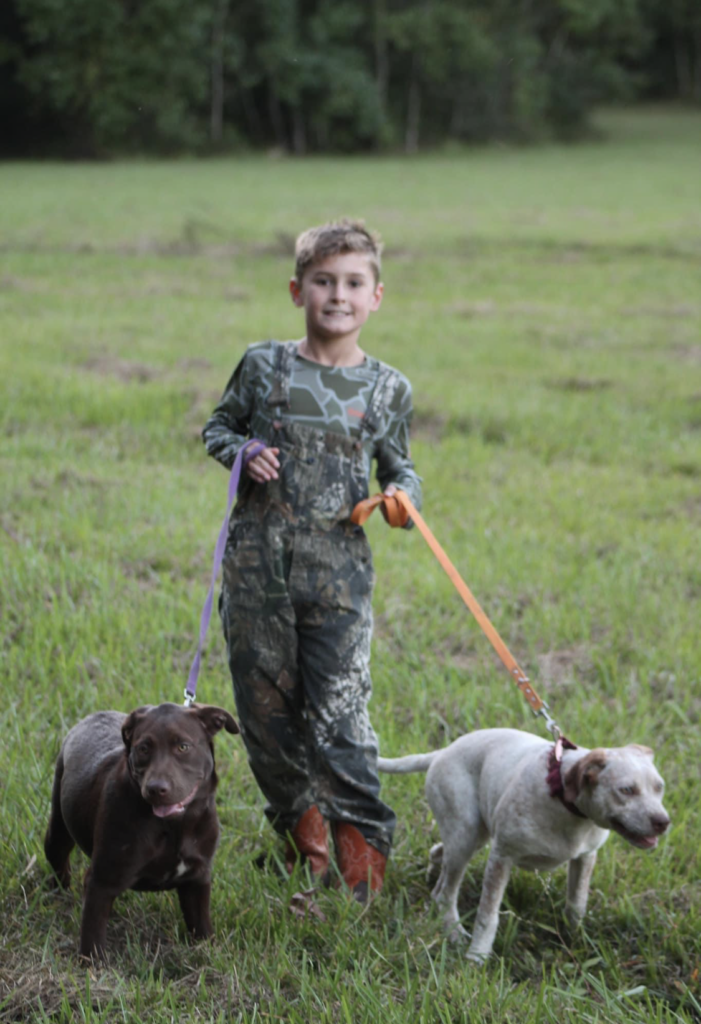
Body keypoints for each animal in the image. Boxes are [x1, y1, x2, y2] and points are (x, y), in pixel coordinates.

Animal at [45, 700, 240, 954]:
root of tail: (95, 715)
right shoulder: (102, 879)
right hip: (59, 825)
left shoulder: (197, 877)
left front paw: (207, 951)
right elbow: (93, 932)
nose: (156, 788)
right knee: (58, 858)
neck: (173, 826)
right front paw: (90, 962)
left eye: (183, 747)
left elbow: (201, 923)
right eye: (143, 749)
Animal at [376, 729, 667, 958]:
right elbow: (488, 916)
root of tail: (442, 752)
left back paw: (434, 878)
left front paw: (575, 941)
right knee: (447, 894)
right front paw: (477, 957)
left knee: (440, 862)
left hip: (471, 835)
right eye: (626, 790)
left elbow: (576, 904)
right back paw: (455, 933)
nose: (664, 822)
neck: (562, 794)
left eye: (659, 787)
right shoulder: (501, 857)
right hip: (466, 837)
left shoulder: (585, 857)